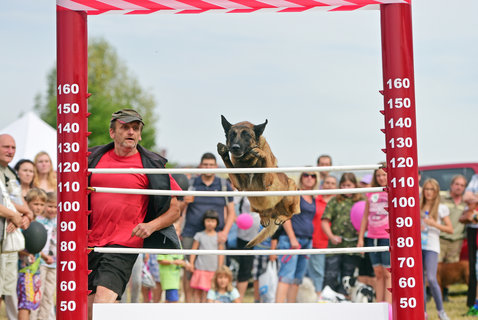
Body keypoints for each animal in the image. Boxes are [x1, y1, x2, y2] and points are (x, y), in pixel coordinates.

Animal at [217, 115, 298, 248]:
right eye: (232, 135)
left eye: (246, 135)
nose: (235, 147)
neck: (248, 162)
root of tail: (273, 215)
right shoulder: (239, 185)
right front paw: (224, 152)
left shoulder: (268, 181)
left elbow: (265, 159)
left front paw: (260, 153)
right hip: (253, 203)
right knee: (263, 212)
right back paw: (264, 217)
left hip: (289, 194)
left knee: (291, 214)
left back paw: (282, 217)